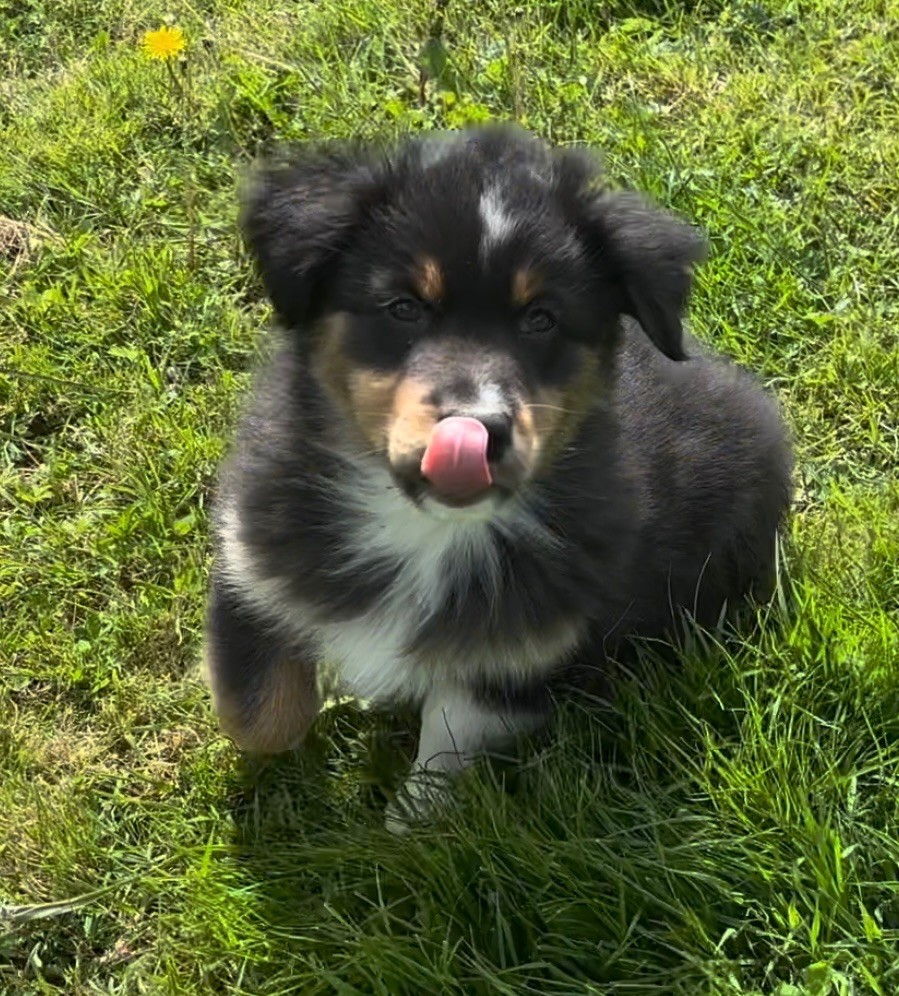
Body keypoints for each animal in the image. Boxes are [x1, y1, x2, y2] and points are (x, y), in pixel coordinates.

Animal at [203, 124, 793, 831]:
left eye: (541, 318)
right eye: (404, 307)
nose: (479, 427)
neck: (424, 530)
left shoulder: (533, 646)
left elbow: (450, 731)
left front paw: (408, 827)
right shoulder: (253, 555)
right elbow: (259, 713)